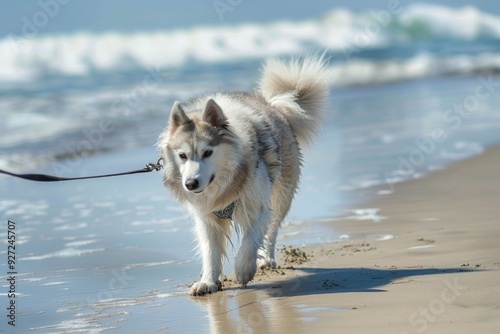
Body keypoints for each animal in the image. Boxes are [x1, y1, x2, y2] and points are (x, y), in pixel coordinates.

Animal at [155, 56, 328, 296]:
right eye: (182, 155)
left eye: (207, 152)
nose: (190, 183)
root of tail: (274, 106)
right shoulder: (206, 216)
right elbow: (210, 250)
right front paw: (208, 281)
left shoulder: (258, 206)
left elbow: (251, 239)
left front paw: (244, 270)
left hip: (282, 193)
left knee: (273, 228)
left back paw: (266, 259)